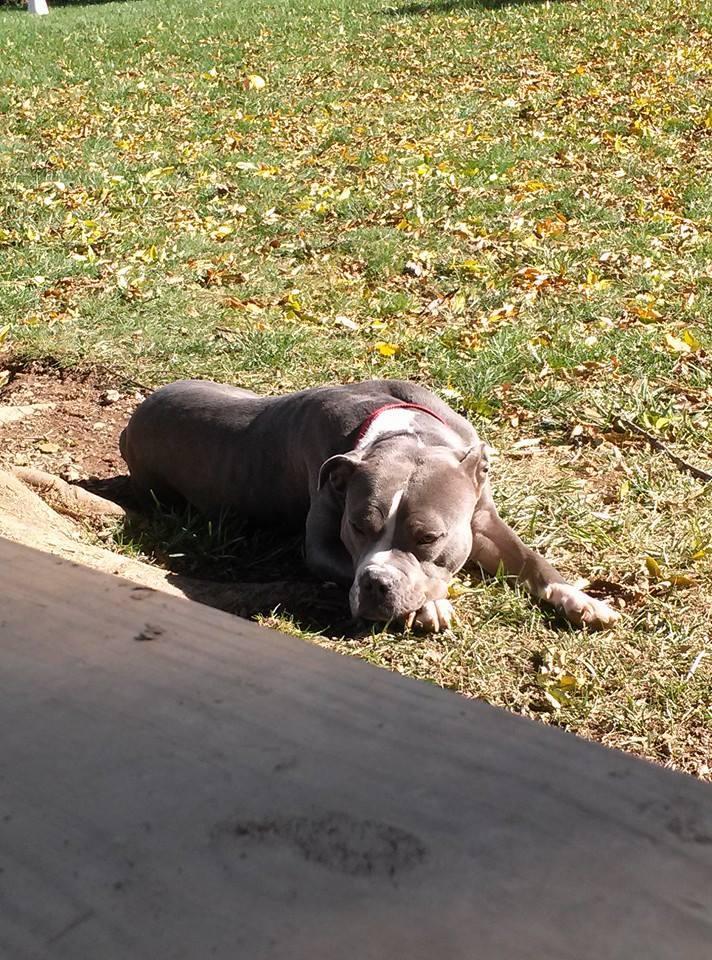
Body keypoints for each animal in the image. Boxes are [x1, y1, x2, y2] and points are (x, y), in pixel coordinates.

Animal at [121, 378, 616, 632]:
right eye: (358, 527)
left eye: (428, 537)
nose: (377, 583)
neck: (405, 431)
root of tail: (133, 418)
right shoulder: (321, 545)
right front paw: (430, 606)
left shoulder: (482, 522)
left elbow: (531, 558)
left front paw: (580, 599)